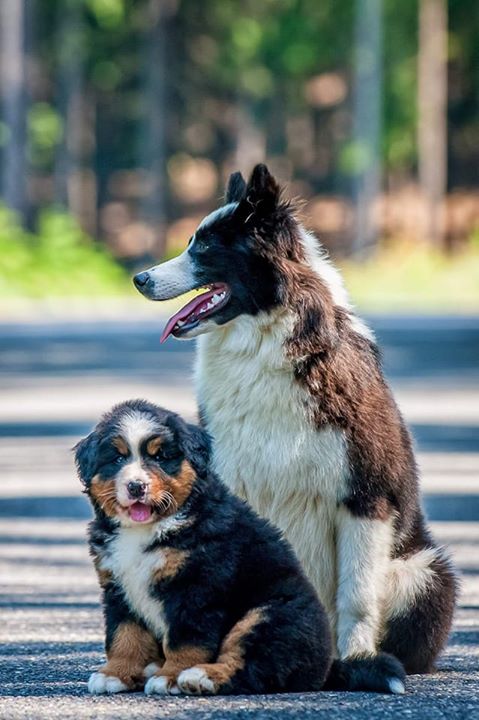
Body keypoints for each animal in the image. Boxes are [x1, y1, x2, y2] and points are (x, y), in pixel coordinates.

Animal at [76, 402, 338, 696]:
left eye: (160, 457)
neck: (148, 529)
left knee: (252, 665)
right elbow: (124, 635)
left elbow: (186, 639)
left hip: (267, 614)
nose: (136, 486)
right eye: (117, 459)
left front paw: (171, 676)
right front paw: (116, 673)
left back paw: (198, 676)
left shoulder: (196, 587)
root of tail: (323, 668)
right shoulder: (118, 587)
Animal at [134, 166, 458, 684]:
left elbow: (356, 597)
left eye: (204, 248)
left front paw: (359, 661)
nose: (139, 278)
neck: (266, 345)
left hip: (423, 570)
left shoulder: (365, 496)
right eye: (190, 242)